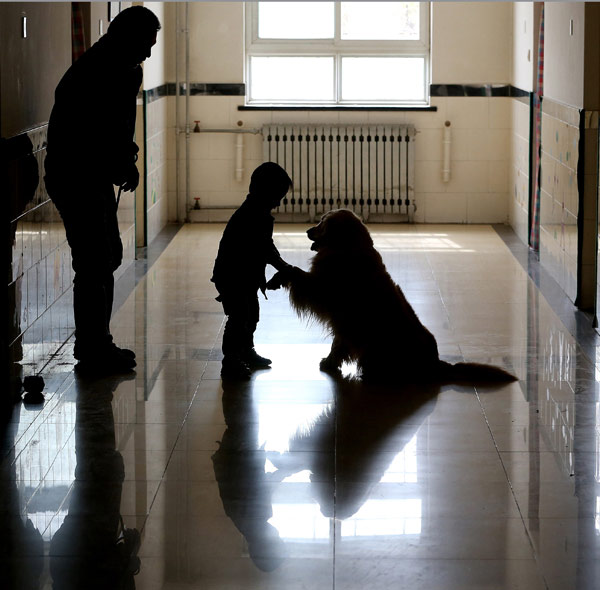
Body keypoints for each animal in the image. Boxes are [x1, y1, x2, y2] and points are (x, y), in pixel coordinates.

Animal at [268, 210, 516, 386]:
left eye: (323, 222)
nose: (308, 230)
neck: (348, 248)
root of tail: (436, 363)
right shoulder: (341, 319)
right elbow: (338, 343)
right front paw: (330, 362)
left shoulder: (322, 291)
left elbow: (297, 273)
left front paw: (283, 273)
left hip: (376, 345)